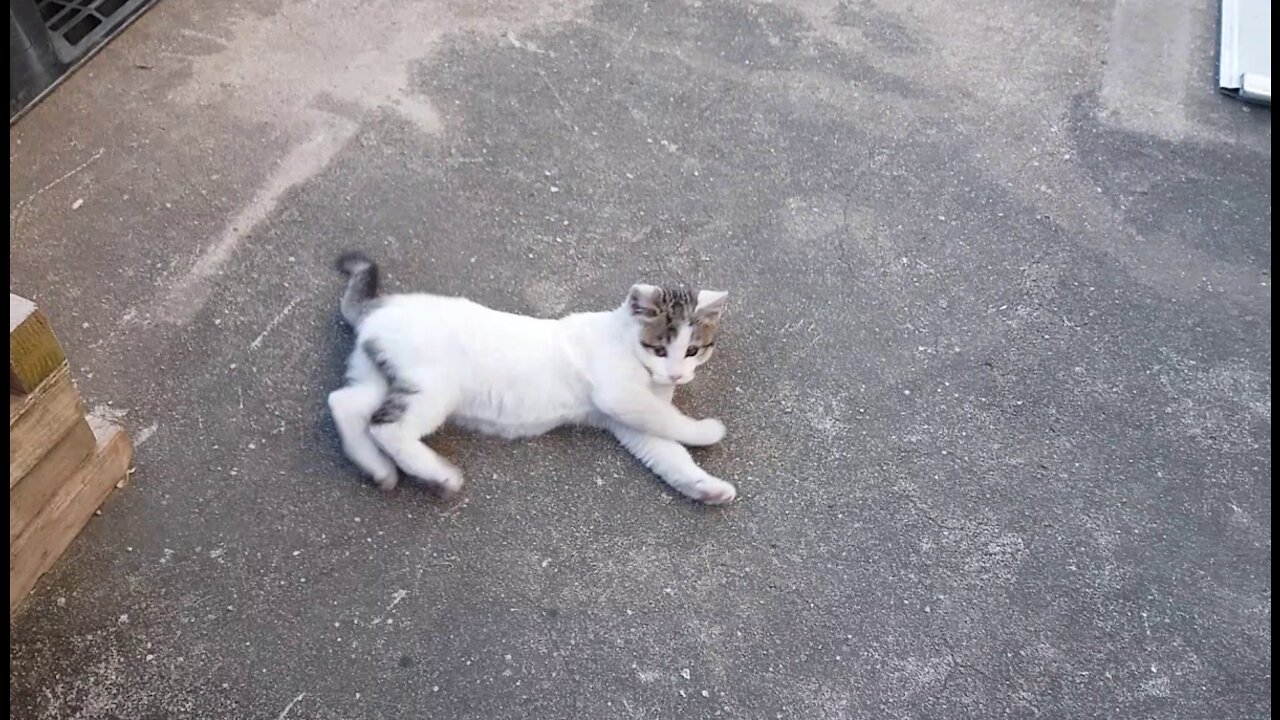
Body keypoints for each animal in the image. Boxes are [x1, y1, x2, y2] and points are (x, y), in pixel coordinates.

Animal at [327, 252, 742, 504]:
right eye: (659, 349)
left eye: (693, 351)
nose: (676, 374)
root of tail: (377, 308)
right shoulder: (621, 397)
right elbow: (671, 421)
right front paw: (708, 430)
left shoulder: (629, 421)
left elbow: (670, 455)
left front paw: (706, 488)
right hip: (432, 388)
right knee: (388, 428)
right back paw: (439, 477)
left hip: (381, 378)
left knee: (345, 403)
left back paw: (378, 469)